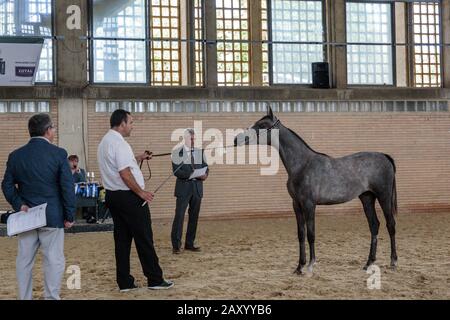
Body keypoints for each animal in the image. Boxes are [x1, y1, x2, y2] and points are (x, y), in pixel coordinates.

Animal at [236, 107, 398, 276]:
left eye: (262, 125)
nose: (236, 139)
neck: (302, 165)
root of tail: (385, 156)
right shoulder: (296, 204)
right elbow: (301, 234)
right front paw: (299, 267)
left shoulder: (309, 204)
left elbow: (311, 234)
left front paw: (310, 265)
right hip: (367, 198)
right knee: (374, 225)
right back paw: (368, 263)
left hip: (384, 197)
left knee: (390, 225)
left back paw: (393, 262)